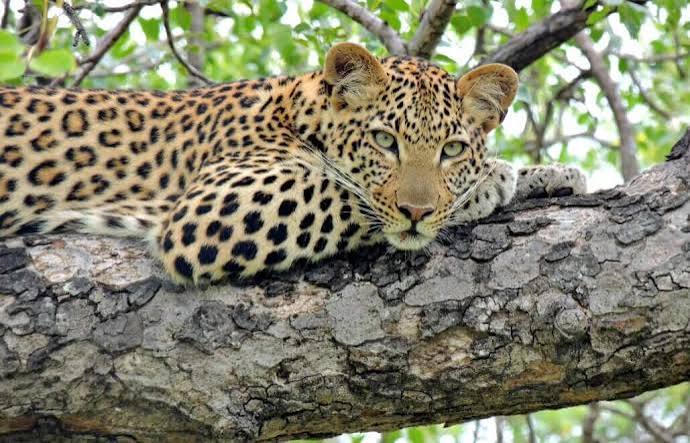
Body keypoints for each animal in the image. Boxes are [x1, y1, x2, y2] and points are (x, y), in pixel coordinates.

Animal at [0, 42, 586, 285]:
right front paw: (490, 182)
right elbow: (344, 191)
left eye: (452, 150)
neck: (300, 110)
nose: (417, 213)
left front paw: (551, 173)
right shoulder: (213, 206)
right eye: (384, 141)